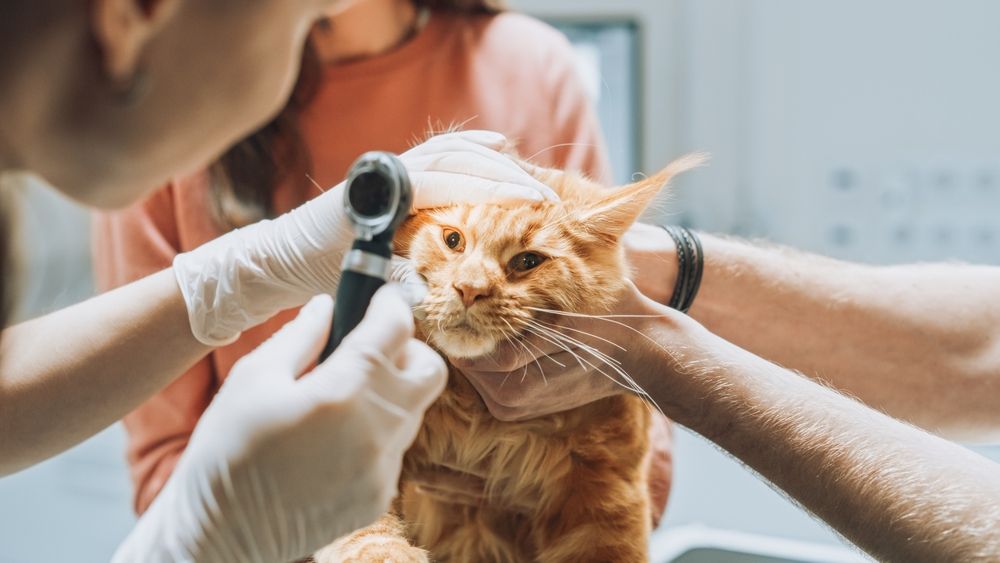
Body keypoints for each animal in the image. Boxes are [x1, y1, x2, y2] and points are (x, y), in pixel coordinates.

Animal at [312, 148, 704, 560]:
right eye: (453, 240)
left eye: (527, 261)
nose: (470, 289)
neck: (478, 420)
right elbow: (370, 540)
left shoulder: (609, 496)